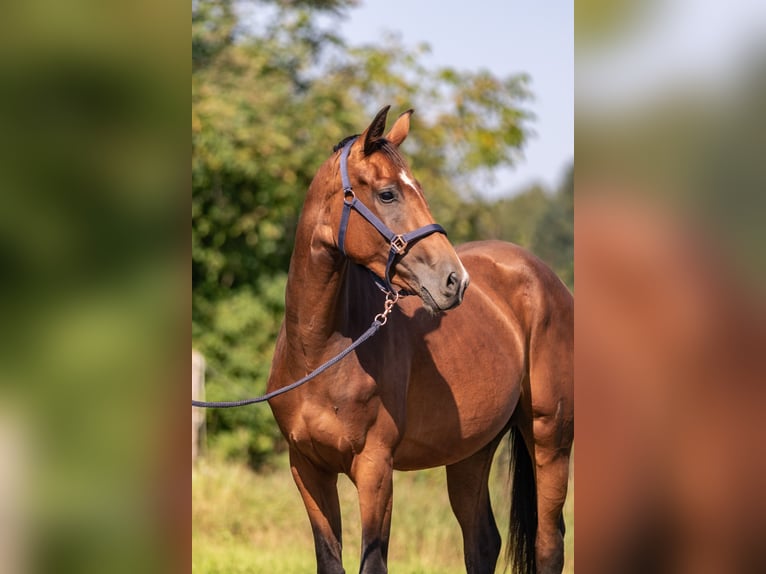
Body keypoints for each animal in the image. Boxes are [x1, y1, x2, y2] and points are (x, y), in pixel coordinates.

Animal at [268, 106, 572, 572]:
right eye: (388, 194)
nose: (454, 280)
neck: (320, 354)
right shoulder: (307, 467)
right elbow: (329, 559)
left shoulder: (375, 469)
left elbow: (372, 562)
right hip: (471, 451)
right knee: (483, 540)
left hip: (549, 440)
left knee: (548, 544)